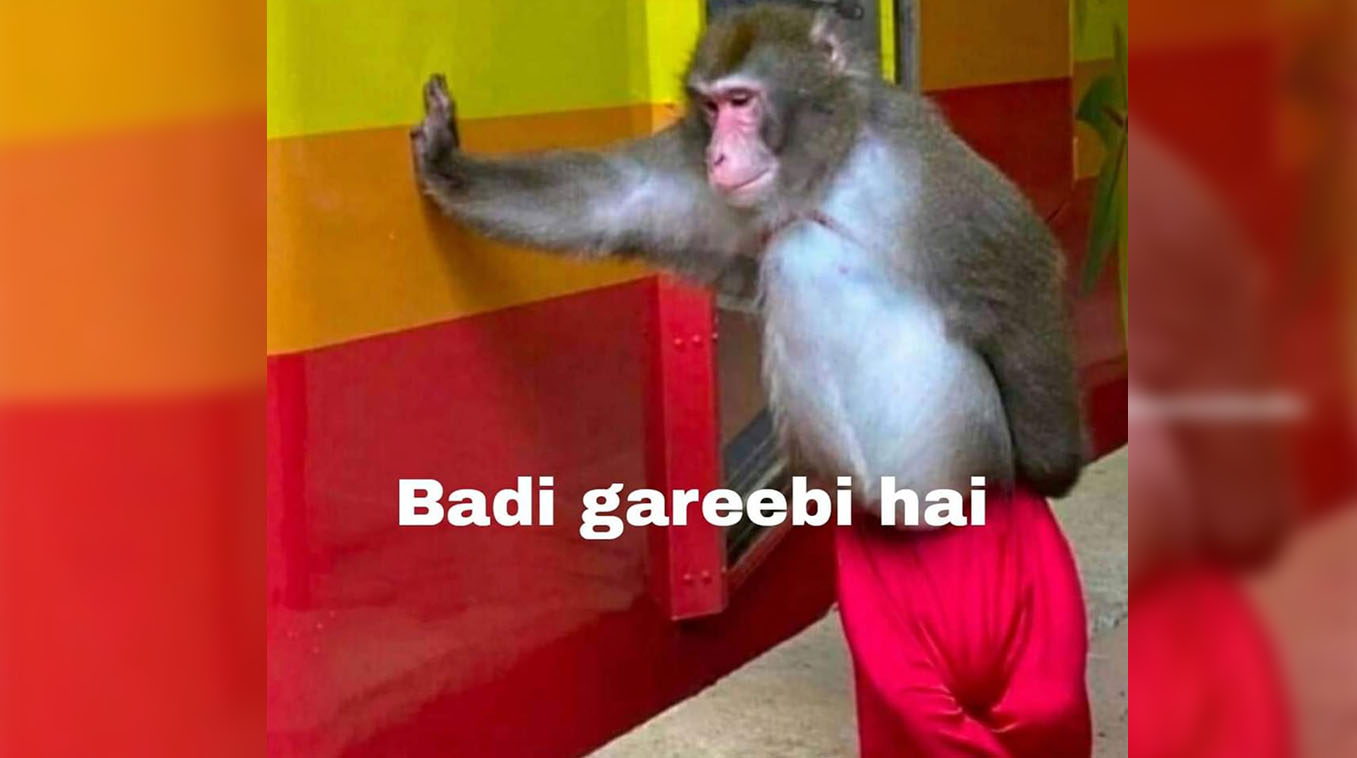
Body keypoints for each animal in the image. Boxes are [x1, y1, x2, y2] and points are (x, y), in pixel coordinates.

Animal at [408, 5, 1086, 511]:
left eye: (742, 101)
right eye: (710, 108)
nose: (718, 157)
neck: (822, 175)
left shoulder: (917, 166)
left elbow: (1018, 271)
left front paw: (1051, 470)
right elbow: (616, 198)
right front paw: (445, 160)